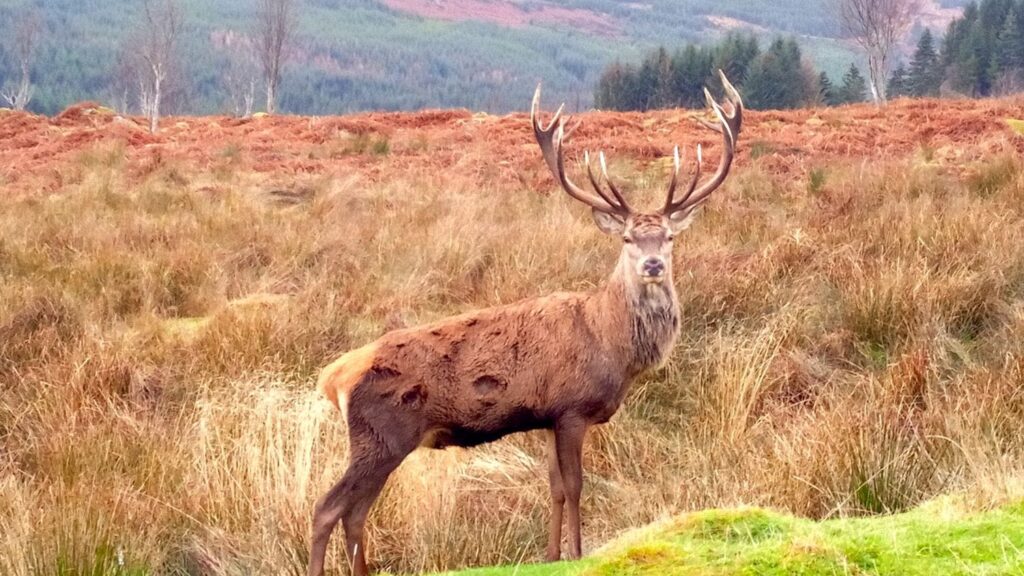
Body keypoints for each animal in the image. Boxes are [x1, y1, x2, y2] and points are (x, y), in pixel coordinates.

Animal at [308, 71, 743, 576]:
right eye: (629, 238)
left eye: (669, 236)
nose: (653, 265)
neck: (611, 342)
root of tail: (332, 377)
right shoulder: (573, 408)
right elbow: (575, 486)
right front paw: (578, 552)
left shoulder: (547, 417)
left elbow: (553, 487)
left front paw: (551, 554)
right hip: (381, 434)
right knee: (328, 508)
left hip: (380, 442)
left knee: (354, 514)